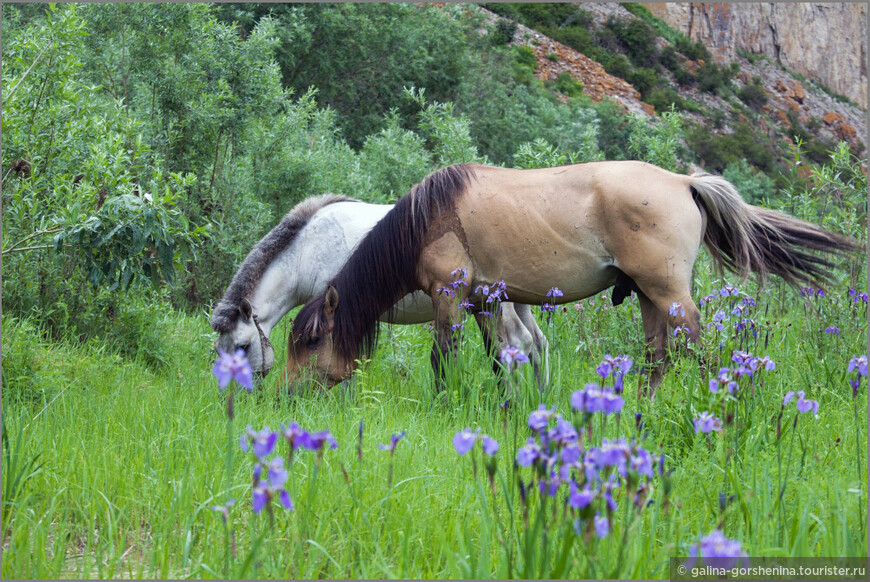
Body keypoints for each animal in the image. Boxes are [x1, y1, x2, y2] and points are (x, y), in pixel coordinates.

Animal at [211, 194, 548, 390]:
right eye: (219, 351)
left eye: (243, 346)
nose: (236, 394)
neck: (307, 250)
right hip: (520, 303)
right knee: (538, 344)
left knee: (520, 342)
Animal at [284, 162, 860, 394]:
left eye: (311, 341)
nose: (286, 395)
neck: (430, 217)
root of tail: (684, 182)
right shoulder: (485, 302)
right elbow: (499, 360)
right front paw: (507, 405)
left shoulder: (450, 298)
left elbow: (441, 360)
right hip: (647, 296)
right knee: (657, 358)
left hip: (669, 293)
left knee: (699, 347)